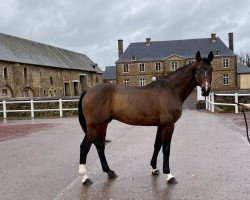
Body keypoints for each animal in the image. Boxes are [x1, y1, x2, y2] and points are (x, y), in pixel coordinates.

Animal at [77, 50, 213, 185]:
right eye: (198, 70)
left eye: (211, 69)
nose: (206, 90)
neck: (171, 90)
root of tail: (88, 91)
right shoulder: (168, 125)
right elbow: (166, 148)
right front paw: (169, 174)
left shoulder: (161, 125)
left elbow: (157, 145)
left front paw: (154, 168)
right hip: (94, 126)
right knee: (84, 147)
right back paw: (85, 177)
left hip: (103, 124)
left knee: (100, 146)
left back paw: (110, 172)